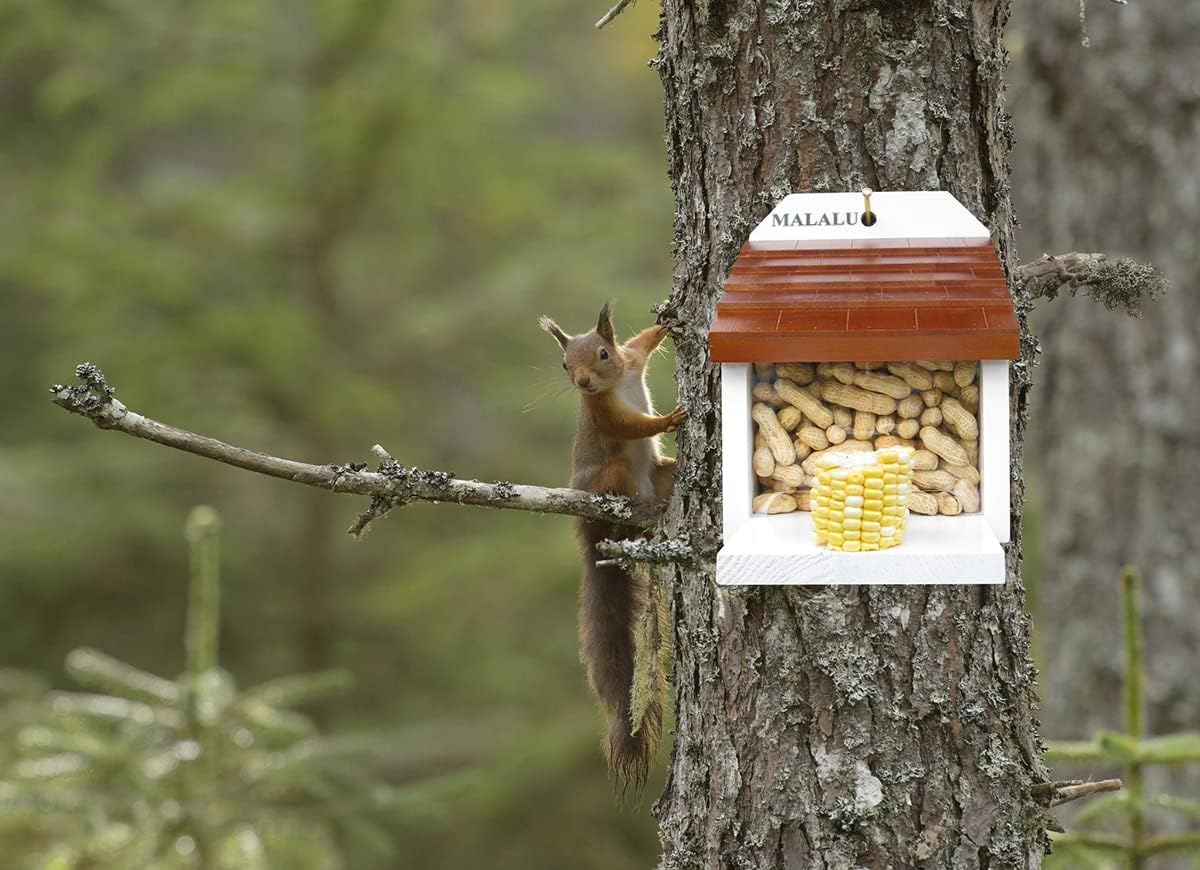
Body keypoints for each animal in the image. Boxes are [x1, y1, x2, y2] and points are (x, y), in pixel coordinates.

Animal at [539, 301, 684, 789]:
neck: (616, 382)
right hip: (612, 474)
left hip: (662, 475)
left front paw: (667, 321)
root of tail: (591, 538)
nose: (583, 382)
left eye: (604, 353)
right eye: (565, 365)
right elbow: (627, 424)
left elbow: (643, 342)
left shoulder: (633, 359)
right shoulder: (601, 411)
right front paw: (666, 421)